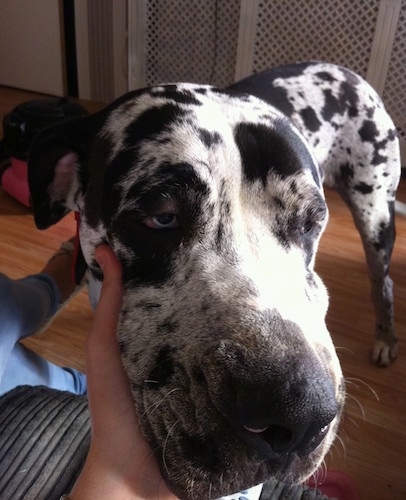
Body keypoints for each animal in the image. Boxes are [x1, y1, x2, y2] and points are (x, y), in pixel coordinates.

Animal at [27, 63, 400, 500]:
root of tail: (344, 70)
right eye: (162, 218)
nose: (301, 414)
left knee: (383, 284)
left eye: (310, 223)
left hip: (376, 212)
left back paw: (385, 339)